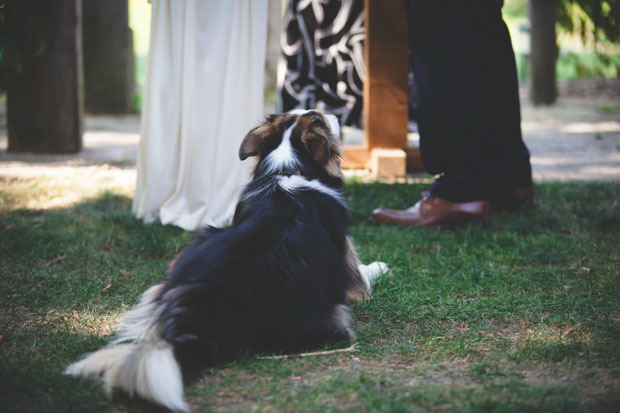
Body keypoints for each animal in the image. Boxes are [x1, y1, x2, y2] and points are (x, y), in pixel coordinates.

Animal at [64, 108, 388, 408]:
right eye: (320, 118)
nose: (335, 114)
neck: (289, 168)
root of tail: (212, 302)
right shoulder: (347, 261)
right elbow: (363, 274)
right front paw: (380, 266)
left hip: (201, 240)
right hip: (330, 314)